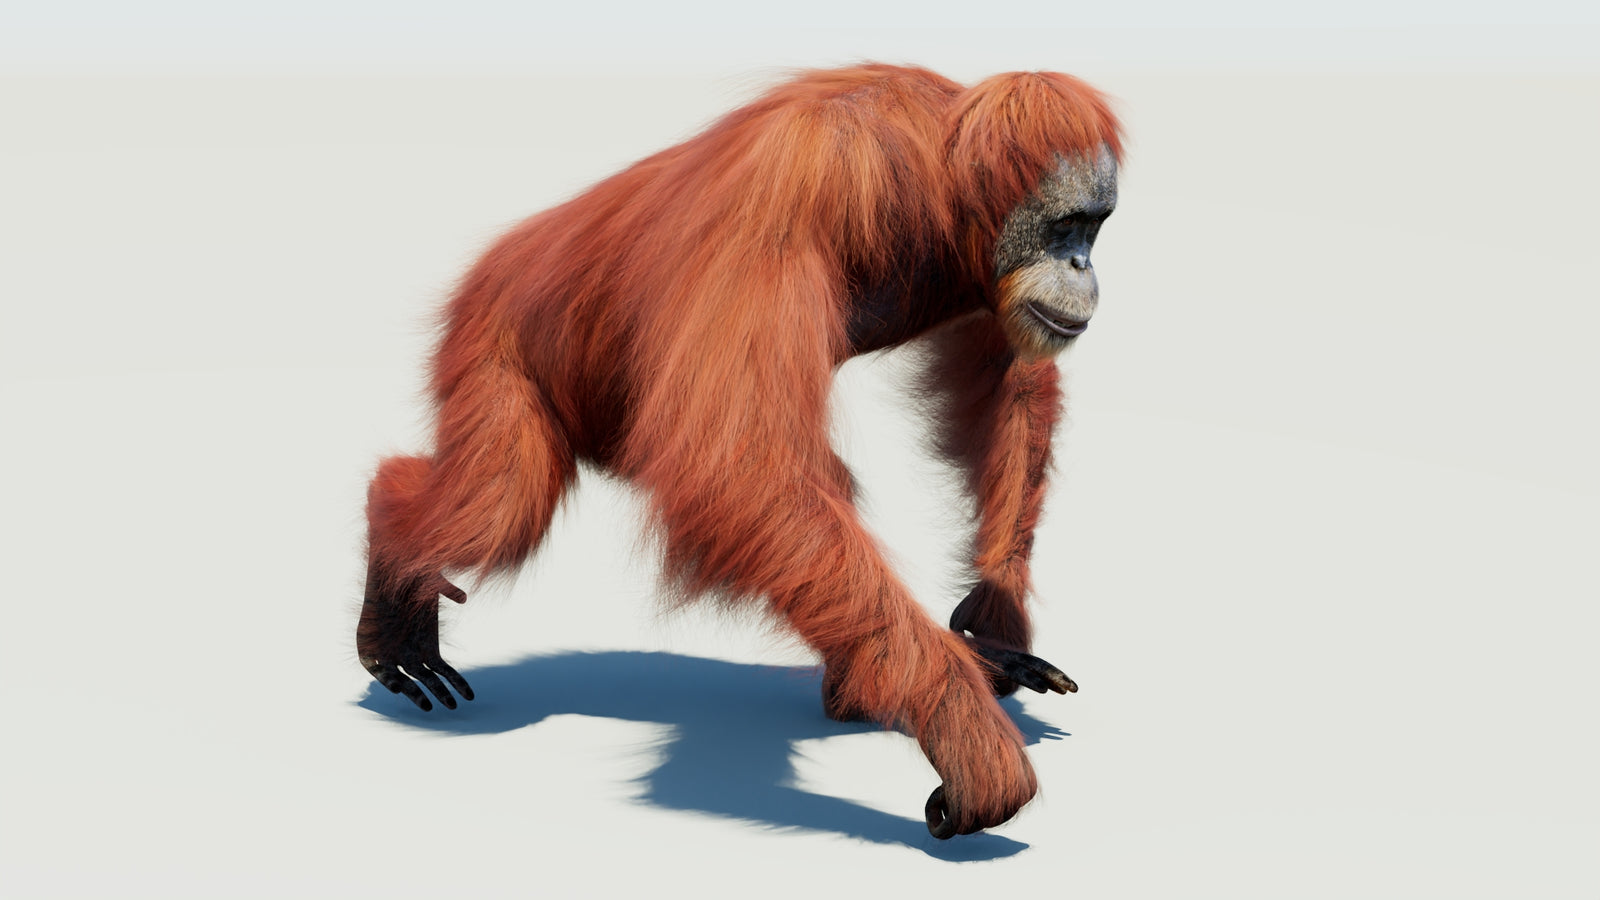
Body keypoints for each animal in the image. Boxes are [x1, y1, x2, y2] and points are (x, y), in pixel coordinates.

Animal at [356, 63, 1121, 839]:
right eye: (1065, 226)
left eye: (1094, 228)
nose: (1082, 266)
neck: (936, 178)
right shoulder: (800, 187)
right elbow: (737, 464)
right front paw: (964, 729)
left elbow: (1009, 376)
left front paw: (992, 628)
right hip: (494, 336)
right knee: (500, 504)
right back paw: (394, 568)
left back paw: (863, 689)